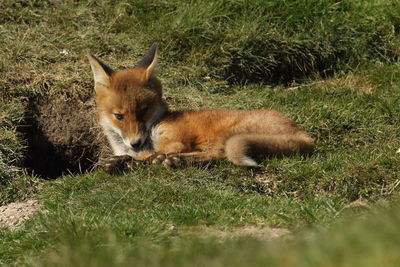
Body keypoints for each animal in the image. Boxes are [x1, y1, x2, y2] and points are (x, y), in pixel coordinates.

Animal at [88, 43, 316, 174]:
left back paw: (174, 161)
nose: (135, 143)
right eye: (119, 116)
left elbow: (152, 153)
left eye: (144, 110)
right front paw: (123, 161)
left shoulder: (174, 141)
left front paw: (129, 161)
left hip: (229, 133)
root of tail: (304, 134)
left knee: (219, 154)